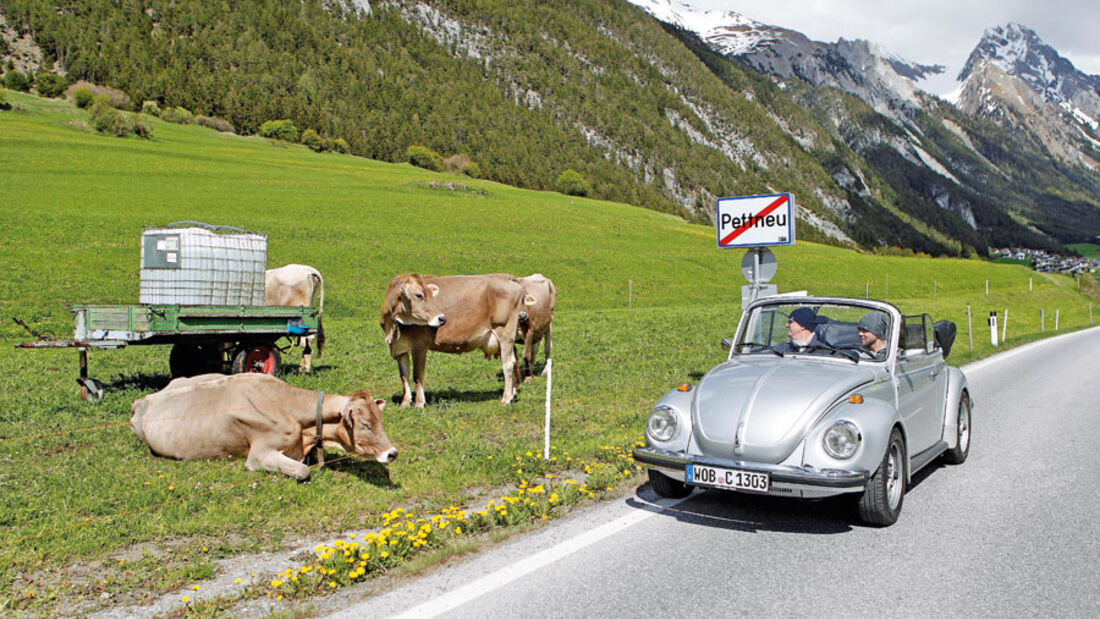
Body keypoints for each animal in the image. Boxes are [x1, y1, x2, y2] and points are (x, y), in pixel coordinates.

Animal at [129, 371, 396, 481]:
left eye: (380, 419)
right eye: (365, 424)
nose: (392, 453)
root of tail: (143, 400)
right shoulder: (259, 454)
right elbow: (302, 470)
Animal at [385, 273, 525, 409]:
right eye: (419, 295)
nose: (442, 318)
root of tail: (505, 276)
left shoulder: (419, 345)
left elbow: (417, 375)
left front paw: (419, 403)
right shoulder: (399, 349)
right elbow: (404, 376)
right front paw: (405, 402)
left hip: (505, 333)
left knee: (508, 364)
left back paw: (505, 399)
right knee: (514, 361)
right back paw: (512, 394)